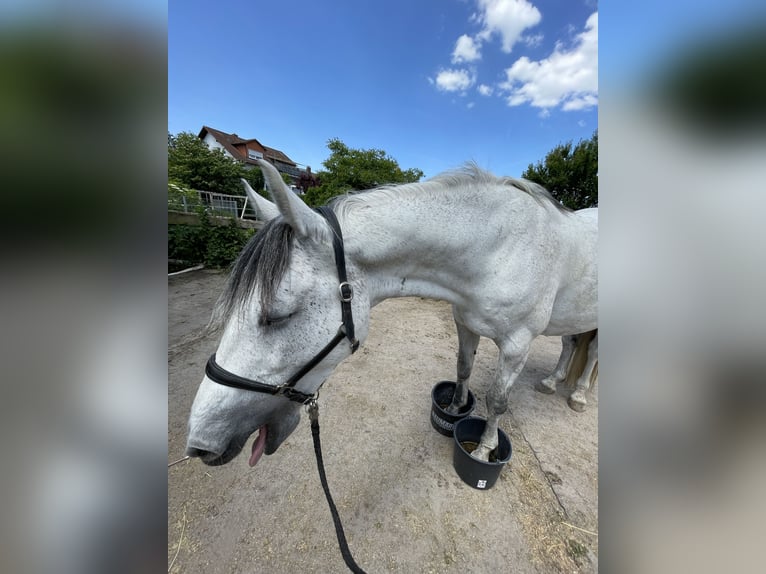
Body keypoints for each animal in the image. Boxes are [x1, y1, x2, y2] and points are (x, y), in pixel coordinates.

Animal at [186, 159, 597, 466]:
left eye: (277, 315)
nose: (199, 443)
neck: (500, 248)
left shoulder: (517, 344)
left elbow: (497, 400)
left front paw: (483, 449)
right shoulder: (465, 322)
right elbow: (463, 369)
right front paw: (457, 406)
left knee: (590, 354)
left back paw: (578, 394)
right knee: (570, 344)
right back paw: (553, 381)